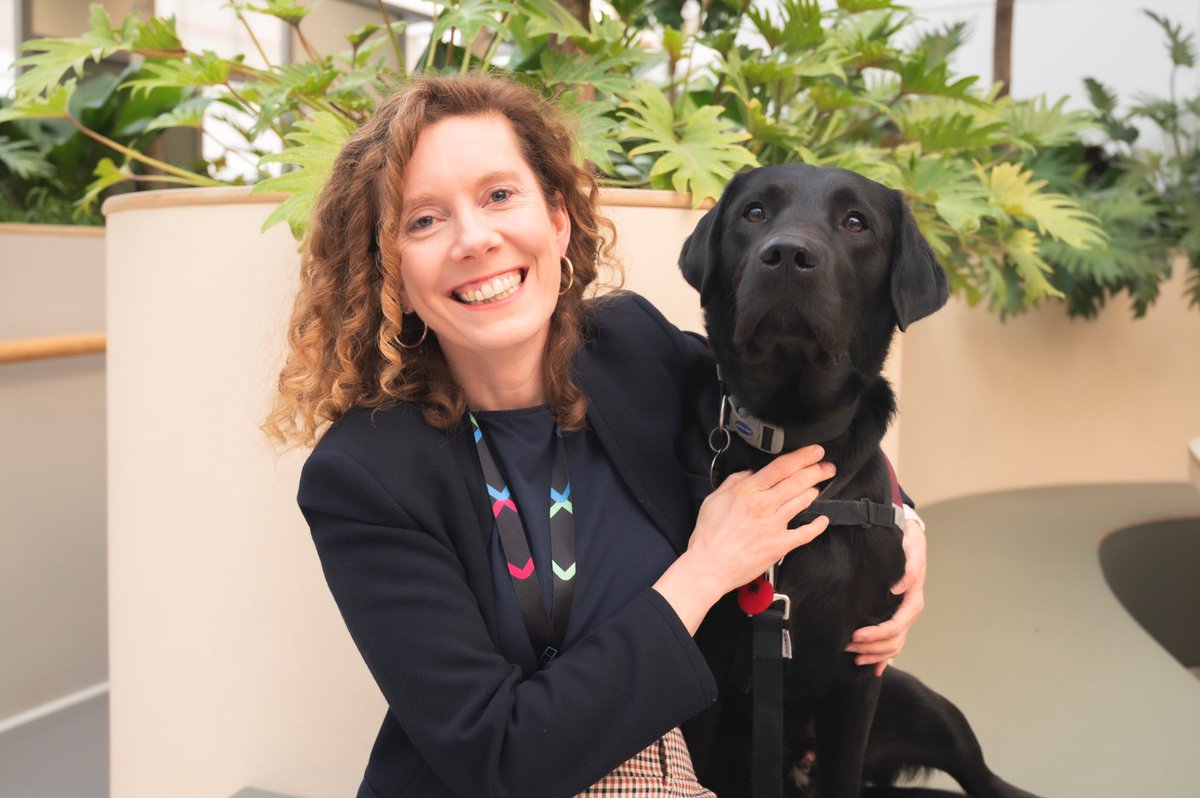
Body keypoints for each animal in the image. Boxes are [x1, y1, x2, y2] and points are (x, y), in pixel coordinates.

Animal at [676, 163, 1041, 796]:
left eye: (855, 223)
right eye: (753, 213)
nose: (788, 254)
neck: (796, 432)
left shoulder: (858, 672)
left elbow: (843, 768)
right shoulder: (705, 672)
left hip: (922, 699)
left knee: (984, 776)